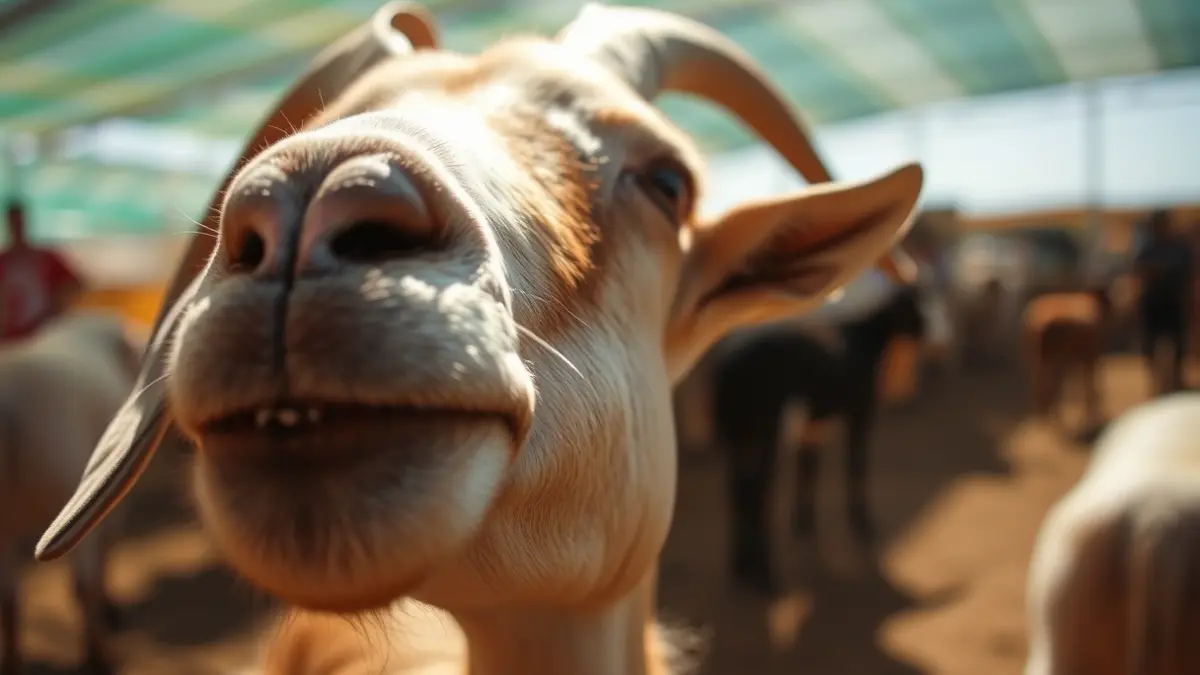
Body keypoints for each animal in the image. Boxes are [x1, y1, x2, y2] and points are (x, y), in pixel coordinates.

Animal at [712, 282, 926, 593]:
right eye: (913, 308)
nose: (926, 329)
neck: (867, 336)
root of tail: (727, 365)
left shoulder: (813, 426)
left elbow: (808, 469)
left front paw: (803, 523)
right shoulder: (860, 415)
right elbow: (856, 467)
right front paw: (862, 521)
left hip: (738, 435)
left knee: (737, 491)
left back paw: (740, 565)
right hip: (766, 432)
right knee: (756, 493)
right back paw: (765, 575)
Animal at [1021, 285, 1112, 433]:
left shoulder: (1076, 360)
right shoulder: (1089, 356)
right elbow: (1090, 389)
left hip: (1040, 362)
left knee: (1042, 389)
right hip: (1050, 361)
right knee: (1048, 389)